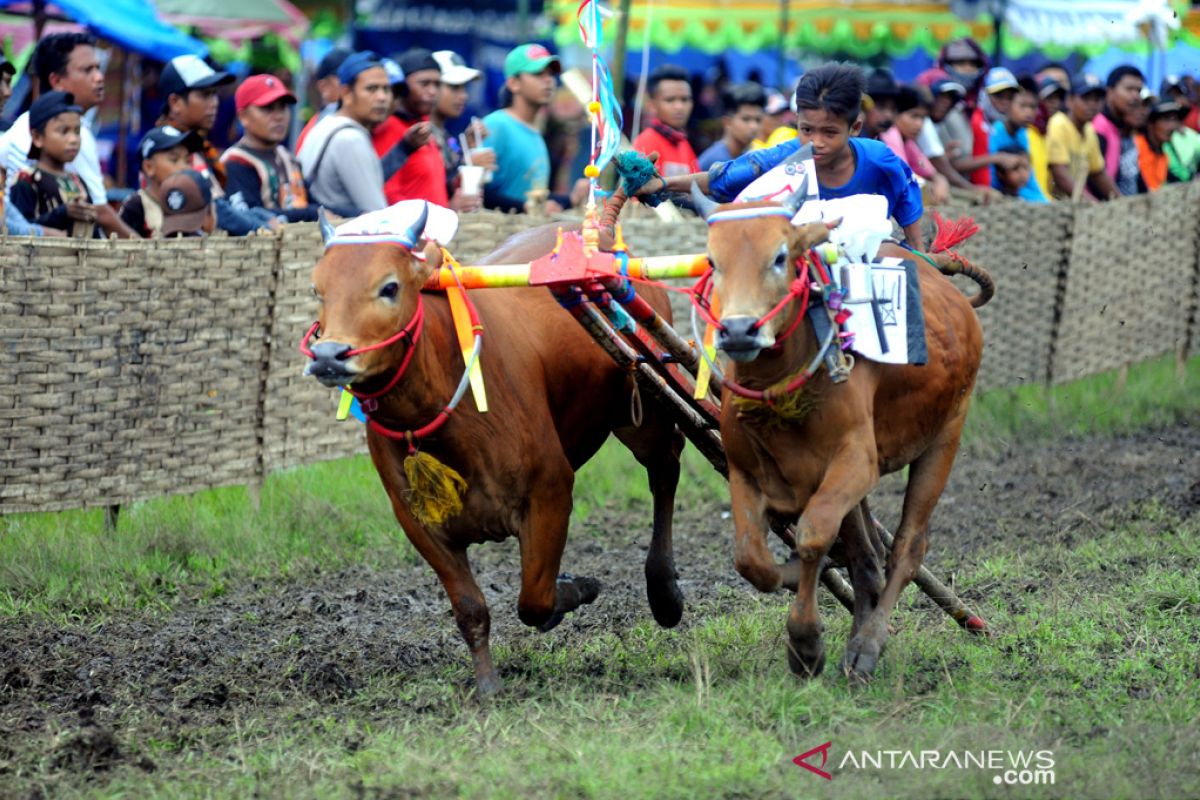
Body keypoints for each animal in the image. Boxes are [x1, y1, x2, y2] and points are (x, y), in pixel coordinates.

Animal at [302, 209, 686, 695]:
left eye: (389, 286)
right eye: (318, 289)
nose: (329, 355)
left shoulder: (550, 492)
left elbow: (535, 600)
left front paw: (576, 589)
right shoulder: (419, 523)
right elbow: (471, 608)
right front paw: (487, 686)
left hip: (643, 410)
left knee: (666, 469)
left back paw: (664, 592)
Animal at [696, 189, 984, 681]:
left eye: (780, 256)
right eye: (714, 261)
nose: (737, 330)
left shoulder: (855, 461)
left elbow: (814, 536)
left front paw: (806, 642)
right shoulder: (744, 469)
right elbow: (751, 560)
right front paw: (792, 583)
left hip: (946, 434)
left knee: (906, 548)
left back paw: (868, 644)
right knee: (866, 555)